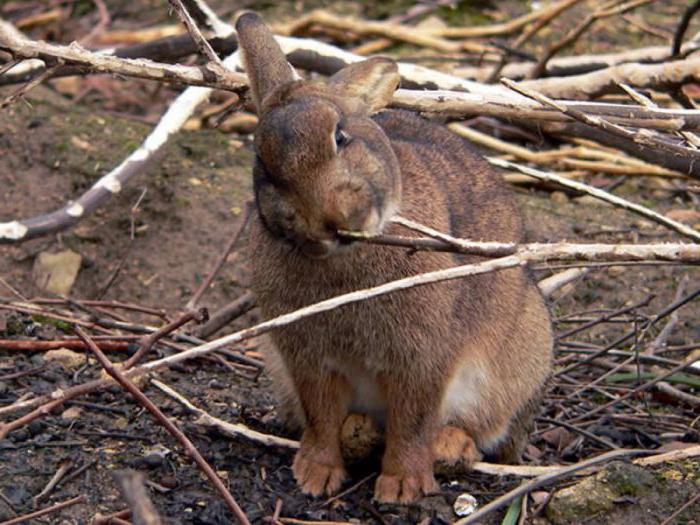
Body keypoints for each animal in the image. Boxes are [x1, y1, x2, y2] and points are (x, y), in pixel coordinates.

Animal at [235, 13, 552, 504]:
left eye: (340, 135)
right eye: (264, 166)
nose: (328, 220)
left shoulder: (422, 359)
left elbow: (412, 422)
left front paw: (403, 486)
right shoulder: (307, 360)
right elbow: (320, 416)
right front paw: (314, 476)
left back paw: (450, 445)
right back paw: (359, 430)